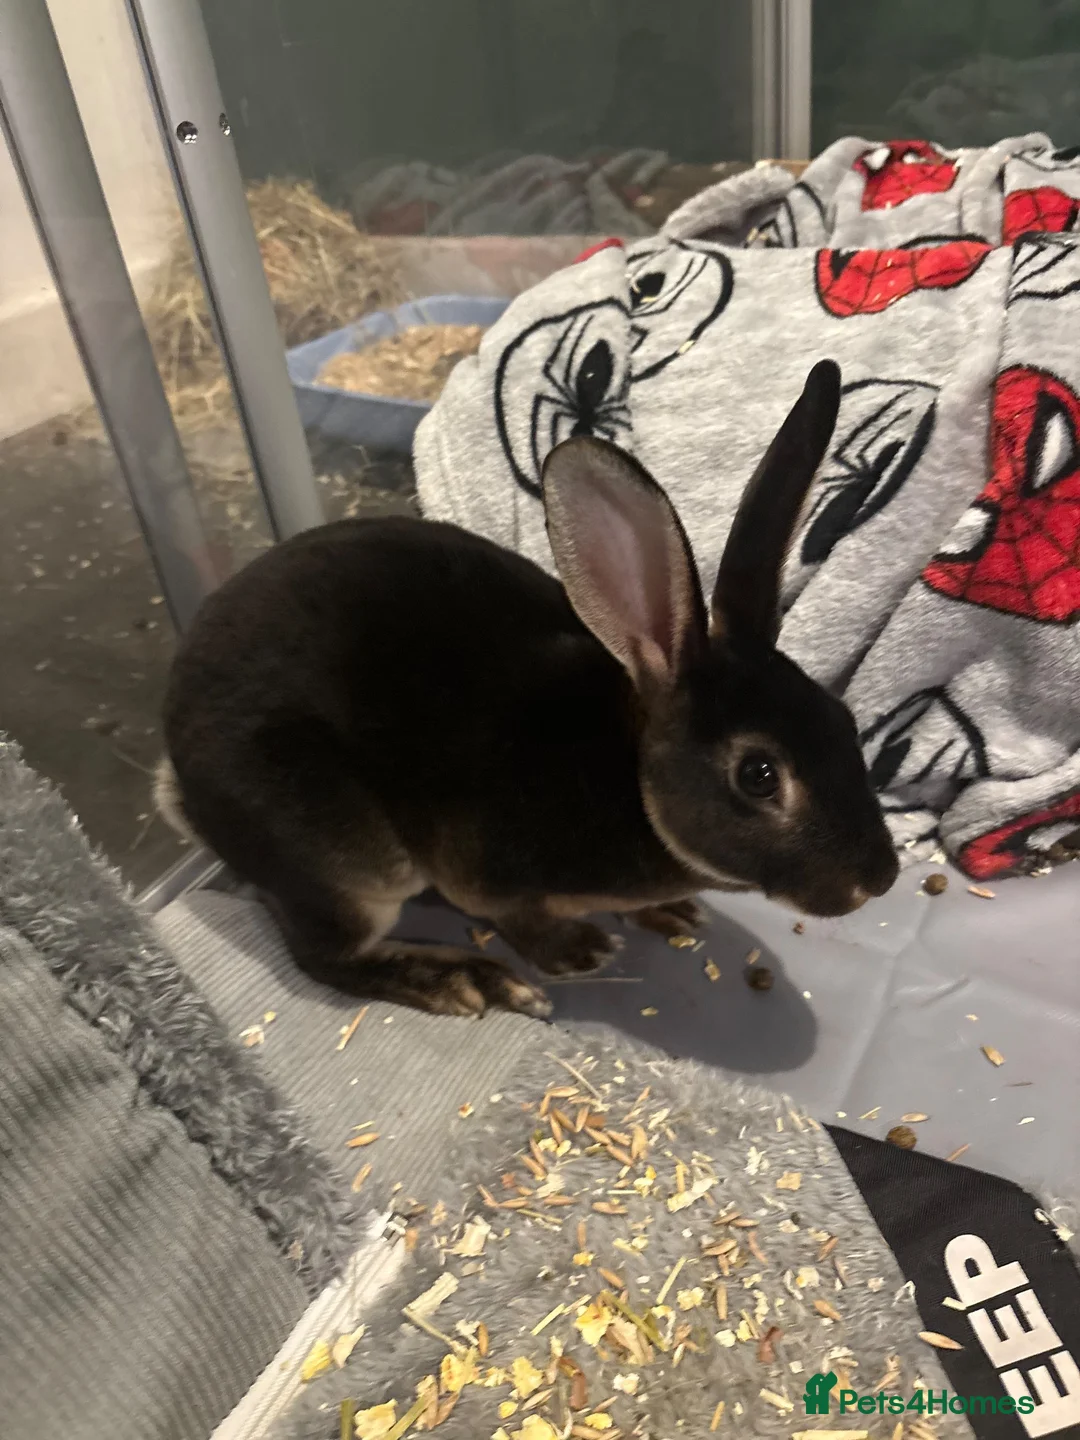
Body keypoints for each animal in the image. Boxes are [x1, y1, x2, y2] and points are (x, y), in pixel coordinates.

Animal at [156, 359, 898, 1019]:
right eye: (758, 775)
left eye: (844, 722)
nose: (880, 878)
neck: (631, 779)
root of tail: (181, 787)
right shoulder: (482, 876)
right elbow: (519, 922)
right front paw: (581, 952)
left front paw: (676, 911)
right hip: (342, 859)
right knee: (325, 956)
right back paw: (466, 983)